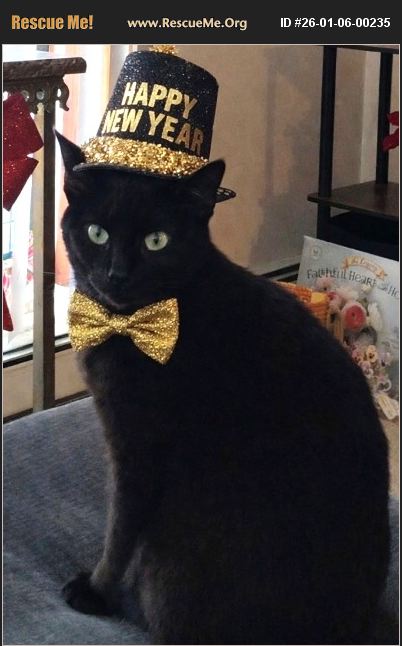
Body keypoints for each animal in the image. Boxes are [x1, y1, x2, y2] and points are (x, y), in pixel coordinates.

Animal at [57, 132, 390, 645]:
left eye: (157, 241)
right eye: (97, 233)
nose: (117, 275)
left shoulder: (137, 447)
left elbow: (121, 530)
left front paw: (96, 592)